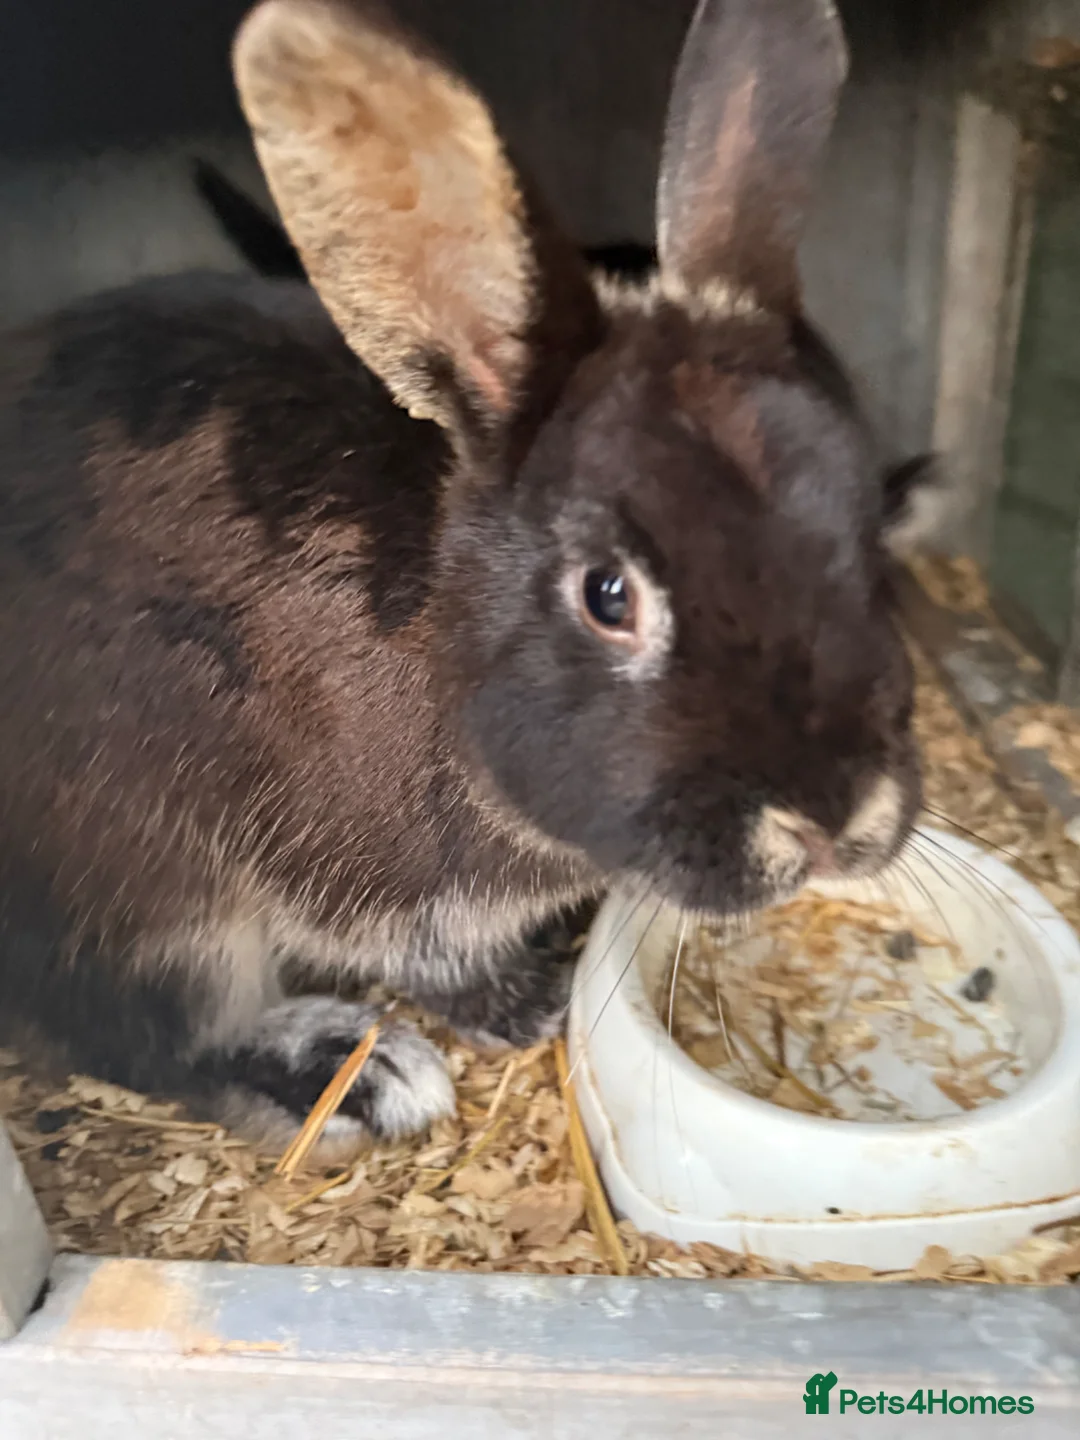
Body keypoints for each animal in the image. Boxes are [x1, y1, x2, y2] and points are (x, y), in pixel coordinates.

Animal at [0, 0, 932, 1158]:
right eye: (609, 595)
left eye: (869, 532)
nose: (835, 821)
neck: (442, 633)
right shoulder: (367, 881)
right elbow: (423, 957)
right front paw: (525, 1006)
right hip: (138, 883)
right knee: (147, 1032)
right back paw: (360, 1076)